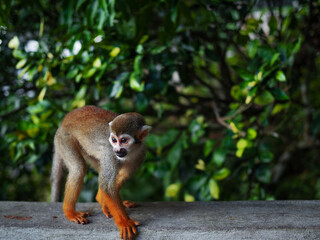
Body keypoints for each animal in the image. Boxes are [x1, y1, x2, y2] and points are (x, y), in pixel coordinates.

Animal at [50, 105, 151, 240]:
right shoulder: (110, 152)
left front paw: (109, 204)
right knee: (78, 168)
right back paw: (70, 212)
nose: (117, 150)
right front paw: (124, 222)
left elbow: (121, 176)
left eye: (124, 140)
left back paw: (101, 199)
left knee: (100, 166)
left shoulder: (141, 154)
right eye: (114, 140)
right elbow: (107, 187)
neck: (132, 151)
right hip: (64, 139)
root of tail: (64, 120)